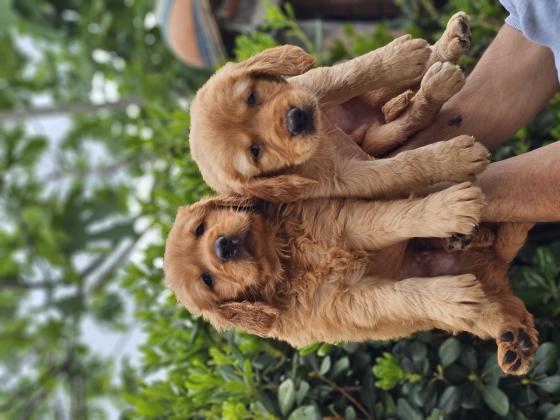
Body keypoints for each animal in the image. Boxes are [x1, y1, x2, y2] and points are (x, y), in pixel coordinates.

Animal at [165, 191, 540, 374]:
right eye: (208, 279)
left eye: (200, 228)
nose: (223, 246)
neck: (286, 259)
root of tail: (495, 263)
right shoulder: (345, 302)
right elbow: (400, 295)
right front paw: (448, 297)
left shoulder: (342, 222)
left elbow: (391, 220)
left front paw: (446, 208)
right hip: (477, 305)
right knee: (500, 309)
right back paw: (513, 341)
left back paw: (463, 237)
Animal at [190, 12, 480, 202]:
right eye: (255, 152)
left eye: (252, 97)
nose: (296, 118)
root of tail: (372, 119)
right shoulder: (346, 177)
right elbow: (402, 167)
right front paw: (453, 159)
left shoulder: (310, 86)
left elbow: (347, 75)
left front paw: (397, 59)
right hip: (378, 131)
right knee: (410, 119)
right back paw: (439, 83)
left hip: (366, 99)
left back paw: (448, 42)